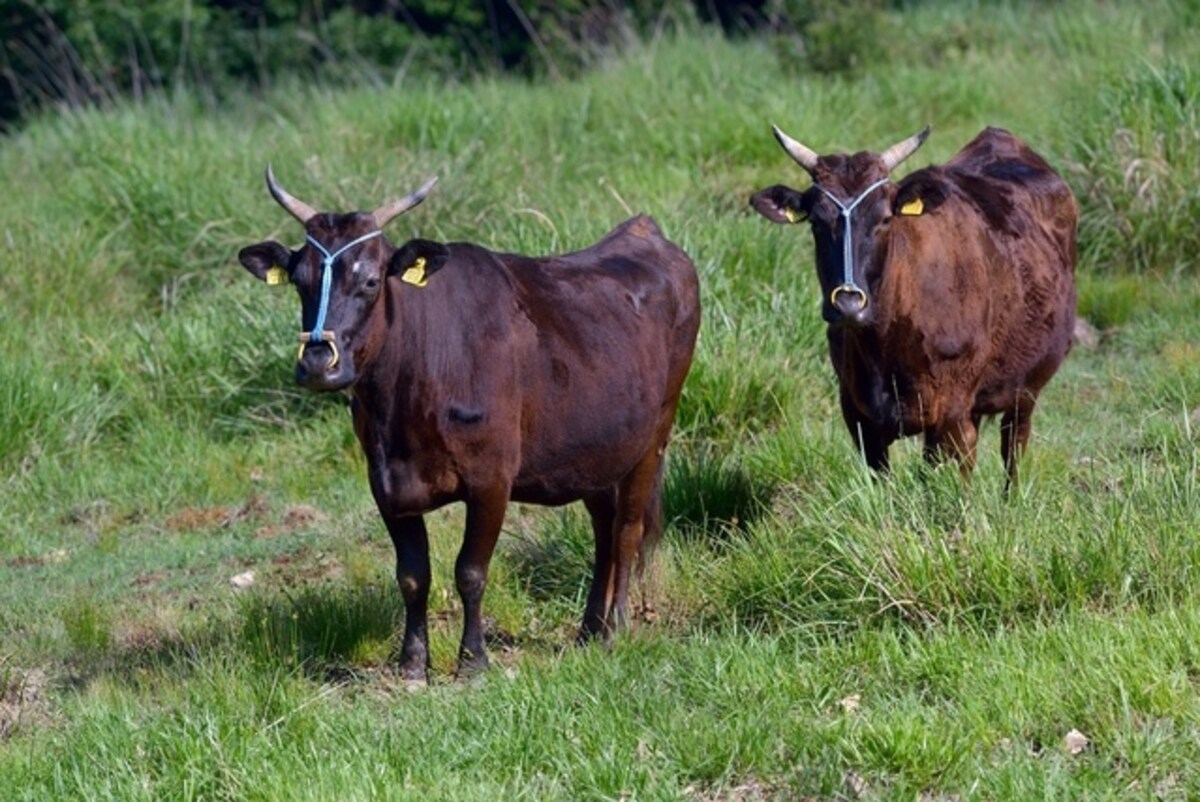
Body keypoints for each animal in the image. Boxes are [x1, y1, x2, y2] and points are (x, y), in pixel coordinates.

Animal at [237, 169, 700, 681]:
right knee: (603, 530)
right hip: (595, 451)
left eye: (371, 281)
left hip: (654, 435)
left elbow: (470, 572)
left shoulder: (491, 479)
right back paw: (588, 630)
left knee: (627, 530)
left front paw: (473, 659)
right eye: (300, 281)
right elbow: (412, 576)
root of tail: (644, 231)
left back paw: (614, 629)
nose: (319, 363)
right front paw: (412, 662)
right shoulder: (386, 485)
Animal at [748, 125, 1080, 482]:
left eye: (884, 219)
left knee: (1013, 450)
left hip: (1026, 390)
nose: (848, 304)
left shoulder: (950, 415)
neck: (884, 346)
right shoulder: (857, 413)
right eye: (815, 222)